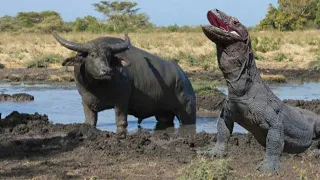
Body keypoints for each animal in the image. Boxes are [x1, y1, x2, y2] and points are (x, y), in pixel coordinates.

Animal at [53, 33, 196, 138]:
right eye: (92, 55)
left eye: (109, 56)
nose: (106, 71)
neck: (97, 87)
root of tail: (182, 76)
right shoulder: (86, 103)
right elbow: (90, 122)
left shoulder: (121, 102)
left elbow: (121, 122)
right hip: (163, 114)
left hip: (187, 112)